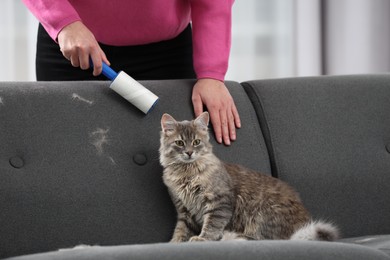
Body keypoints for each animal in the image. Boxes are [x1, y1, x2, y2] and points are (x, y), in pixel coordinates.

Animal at [159, 111, 338, 242]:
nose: (189, 153)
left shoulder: (220, 202)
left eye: (196, 142)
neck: (186, 173)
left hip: (261, 213)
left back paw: (233, 236)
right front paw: (174, 243)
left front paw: (202, 239)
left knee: (264, 238)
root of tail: (303, 223)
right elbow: (181, 230)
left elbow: (212, 225)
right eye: (180, 143)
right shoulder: (184, 210)